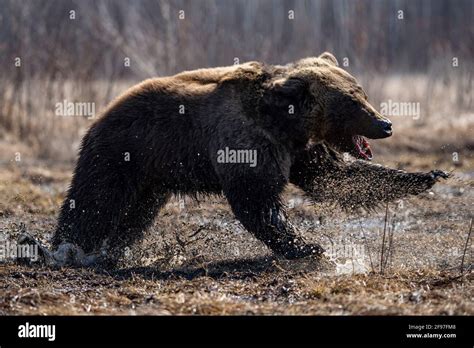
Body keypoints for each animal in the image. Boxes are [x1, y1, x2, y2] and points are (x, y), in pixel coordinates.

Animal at [48, 53, 448, 268]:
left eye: (361, 92)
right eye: (352, 101)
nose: (385, 124)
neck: (284, 121)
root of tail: (101, 113)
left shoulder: (299, 149)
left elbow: (336, 177)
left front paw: (428, 174)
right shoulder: (248, 143)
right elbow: (258, 201)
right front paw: (308, 245)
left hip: (153, 176)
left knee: (135, 214)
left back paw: (114, 251)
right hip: (123, 152)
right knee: (95, 201)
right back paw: (67, 249)